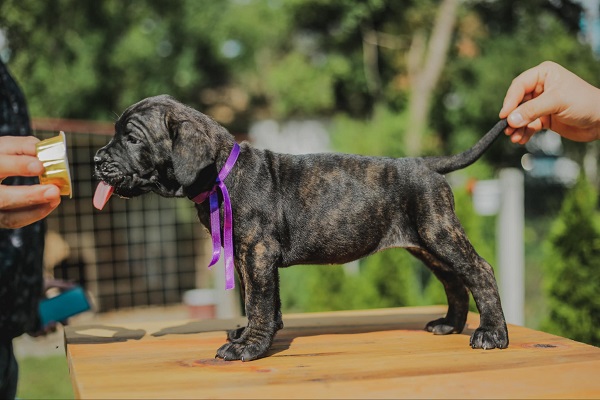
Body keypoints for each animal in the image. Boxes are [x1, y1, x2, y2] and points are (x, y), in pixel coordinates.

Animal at [96, 94, 508, 362]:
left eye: (132, 138)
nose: (97, 159)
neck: (222, 173)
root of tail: (426, 164)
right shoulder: (246, 255)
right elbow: (263, 301)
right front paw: (251, 335)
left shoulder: (257, 252)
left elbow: (257, 300)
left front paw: (249, 347)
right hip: (424, 243)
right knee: (454, 279)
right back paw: (450, 325)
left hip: (439, 232)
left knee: (480, 271)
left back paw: (491, 334)